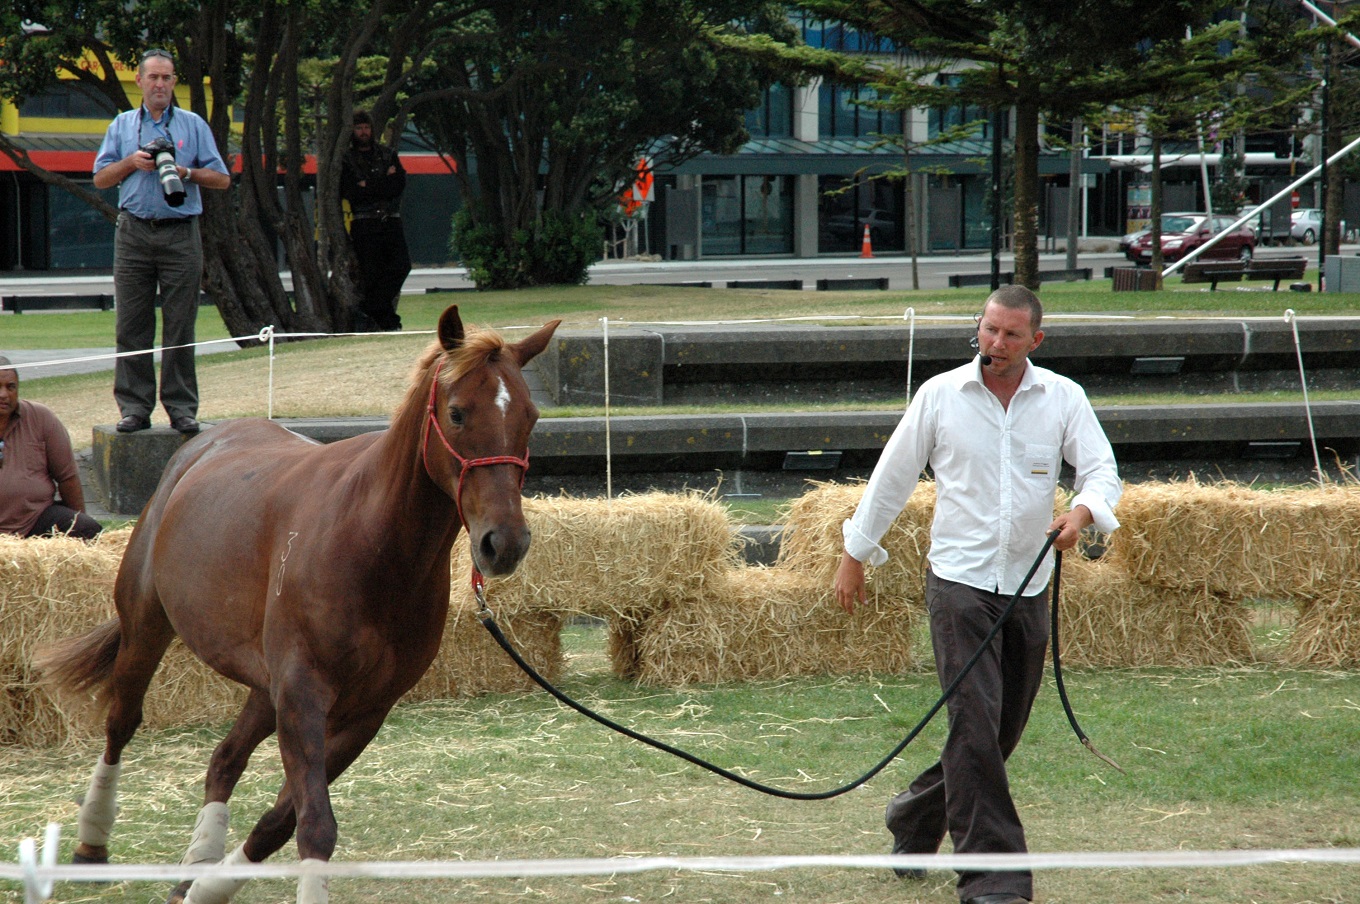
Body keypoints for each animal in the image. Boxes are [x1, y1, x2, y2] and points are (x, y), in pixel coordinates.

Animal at [38, 304, 557, 902]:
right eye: (457, 413)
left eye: (530, 417)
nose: (505, 542)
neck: (373, 545)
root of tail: (200, 446)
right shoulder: (303, 694)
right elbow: (313, 824)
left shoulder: (362, 711)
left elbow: (281, 821)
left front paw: (211, 883)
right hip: (147, 628)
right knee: (121, 723)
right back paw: (92, 842)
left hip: (265, 687)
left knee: (224, 760)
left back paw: (195, 867)